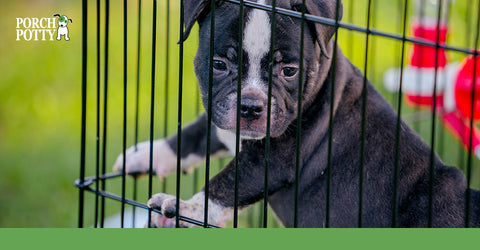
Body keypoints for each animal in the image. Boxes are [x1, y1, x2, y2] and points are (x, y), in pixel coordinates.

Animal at [113, 0, 480, 228]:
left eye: (288, 71)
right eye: (219, 64)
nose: (250, 106)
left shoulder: (269, 161)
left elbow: (225, 184)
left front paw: (182, 210)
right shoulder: (221, 116)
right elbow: (193, 133)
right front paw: (147, 154)